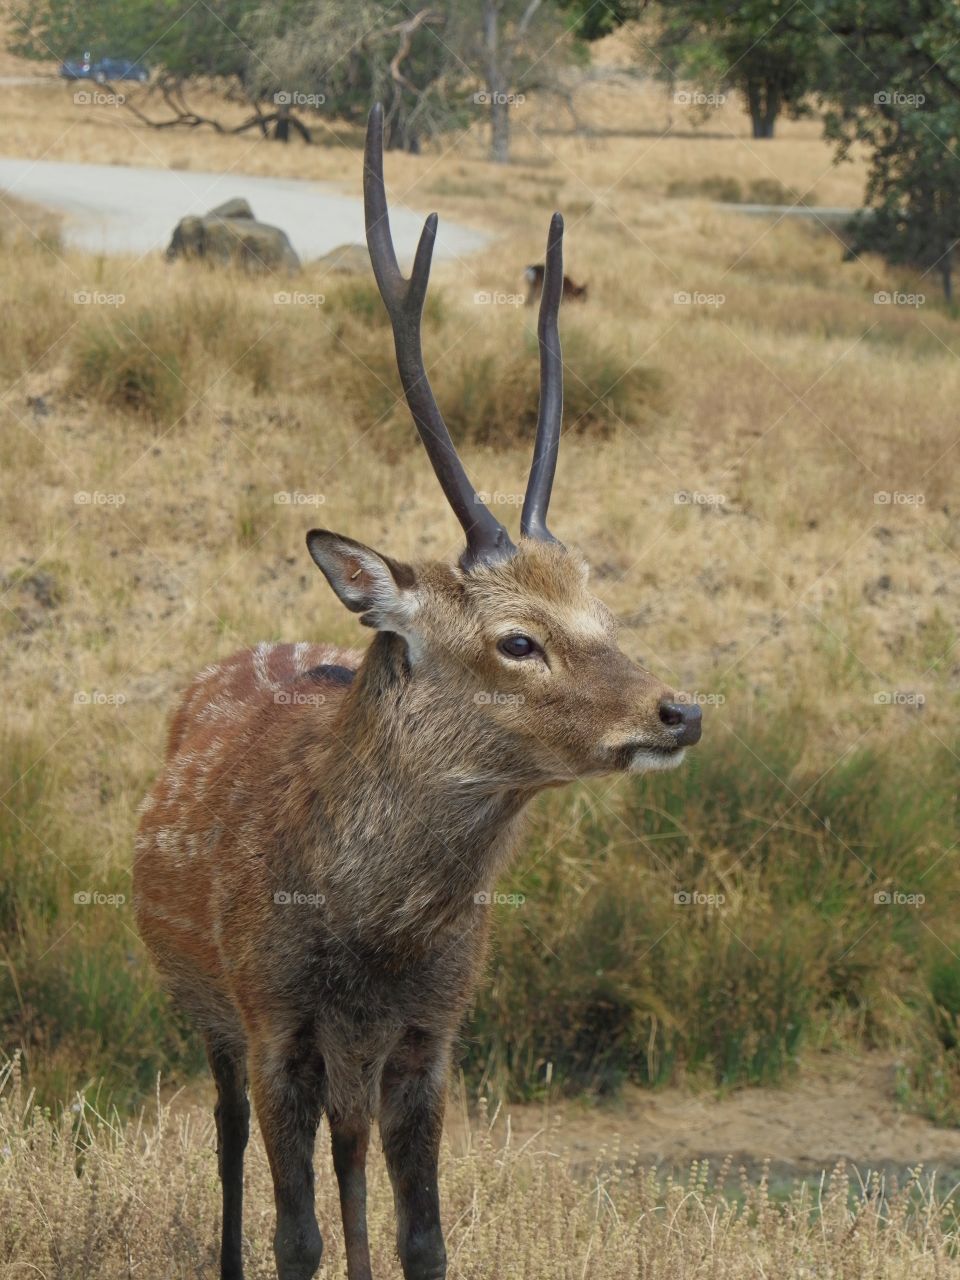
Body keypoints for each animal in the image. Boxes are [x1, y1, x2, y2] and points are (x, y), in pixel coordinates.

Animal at [131, 102, 701, 1280]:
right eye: (517, 640)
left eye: (604, 607)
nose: (681, 709)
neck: (373, 944)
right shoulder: (274, 1021)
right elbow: (294, 1234)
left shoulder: (432, 1036)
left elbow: (424, 1236)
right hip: (198, 1004)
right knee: (225, 1143)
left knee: (349, 1165)